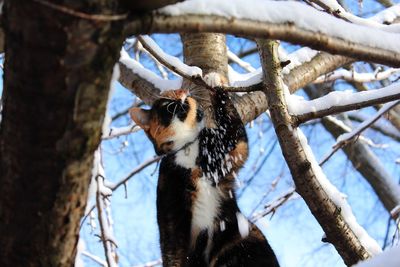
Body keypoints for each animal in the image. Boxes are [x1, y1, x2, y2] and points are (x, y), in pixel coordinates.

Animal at [130, 87, 280, 266]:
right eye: (168, 103)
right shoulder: (172, 211)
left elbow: (237, 132)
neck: (188, 146)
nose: (183, 90)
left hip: (241, 236)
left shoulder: (230, 153)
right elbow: (174, 248)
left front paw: (217, 88)